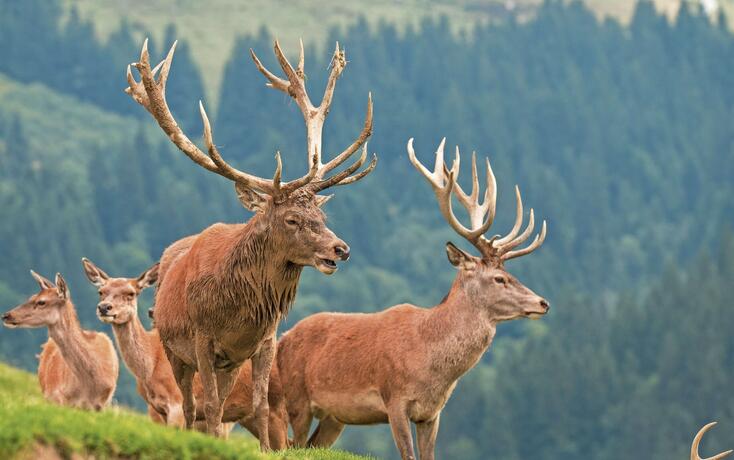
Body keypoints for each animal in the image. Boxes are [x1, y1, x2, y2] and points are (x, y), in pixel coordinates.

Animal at [81, 257, 288, 448]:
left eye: (131, 293)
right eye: (101, 291)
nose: (104, 307)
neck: (151, 367)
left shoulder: (175, 403)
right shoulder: (157, 410)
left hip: (277, 410)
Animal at [124, 38, 376, 448]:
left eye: (322, 218)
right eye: (291, 219)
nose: (341, 249)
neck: (237, 314)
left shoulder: (261, 343)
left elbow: (259, 407)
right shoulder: (202, 340)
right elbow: (208, 408)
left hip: (230, 363)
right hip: (176, 351)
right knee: (193, 407)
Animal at [276, 138, 549, 460]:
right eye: (499, 278)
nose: (543, 302)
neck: (429, 363)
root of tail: (282, 339)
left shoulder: (432, 413)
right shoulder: (394, 399)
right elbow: (407, 453)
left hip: (334, 416)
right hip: (295, 398)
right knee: (290, 443)